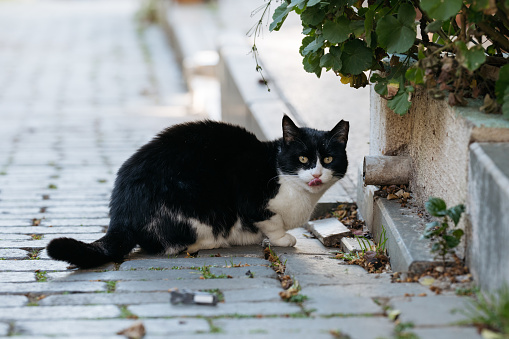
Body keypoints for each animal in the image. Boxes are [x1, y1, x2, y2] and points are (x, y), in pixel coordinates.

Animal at [46, 115, 350, 270]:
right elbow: (271, 221)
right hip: (197, 205)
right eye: (303, 159)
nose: (316, 175)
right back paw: (213, 242)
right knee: (170, 245)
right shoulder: (250, 194)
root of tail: (120, 214)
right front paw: (282, 238)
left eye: (328, 159)